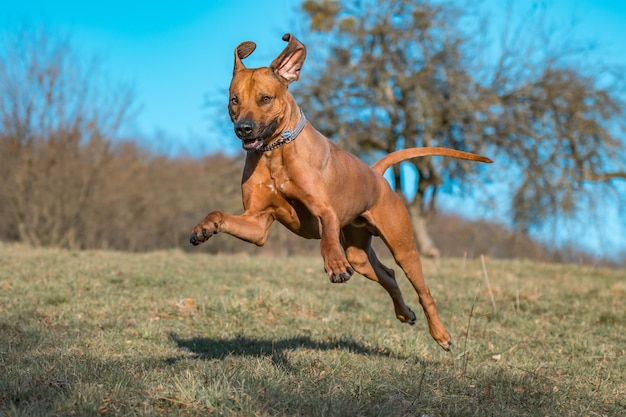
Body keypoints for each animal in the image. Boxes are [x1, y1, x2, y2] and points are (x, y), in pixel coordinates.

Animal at [188, 34, 490, 350]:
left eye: (265, 99)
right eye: (234, 100)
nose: (243, 129)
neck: (274, 152)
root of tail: (375, 173)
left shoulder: (325, 210)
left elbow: (327, 239)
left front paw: (333, 264)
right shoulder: (257, 222)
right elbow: (220, 214)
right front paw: (203, 228)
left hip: (403, 247)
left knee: (422, 288)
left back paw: (441, 334)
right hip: (359, 254)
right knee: (388, 275)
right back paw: (405, 313)